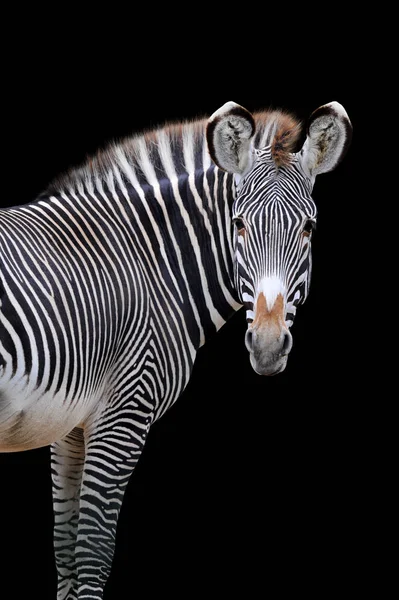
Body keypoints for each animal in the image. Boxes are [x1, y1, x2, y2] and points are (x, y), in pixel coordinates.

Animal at [0, 101, 352, 596]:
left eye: (309, 228)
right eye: (239, 224)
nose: (266, 347)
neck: (152, 266)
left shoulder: (70, 425)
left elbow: (66, 556)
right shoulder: (124, 412)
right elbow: (92, 554)